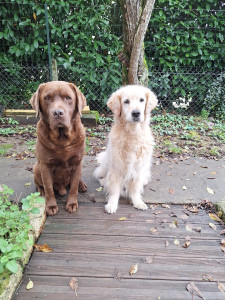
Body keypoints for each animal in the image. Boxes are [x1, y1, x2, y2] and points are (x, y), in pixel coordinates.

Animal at [29, 81, 86, 214]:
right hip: (37, 167)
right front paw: (50, 206)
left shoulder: (77, 163)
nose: (58, 113)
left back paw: (82, 185)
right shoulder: (45, 165)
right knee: (40, 184)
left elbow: (73, 186)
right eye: (47, 98)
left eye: (68, 98)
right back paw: (41, 191)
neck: (62, 141)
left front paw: (72, 203)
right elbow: (49, 188)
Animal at [94, 84, 157, 213]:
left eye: (142, 100)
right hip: (105, 165)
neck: (132, 133)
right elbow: (114, 189)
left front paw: (137, 202)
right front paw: (112, 204)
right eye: (126, 101)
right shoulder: (116, 167)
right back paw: (103, 181)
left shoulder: (138, 168)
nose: (136, 113)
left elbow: (135, 188)